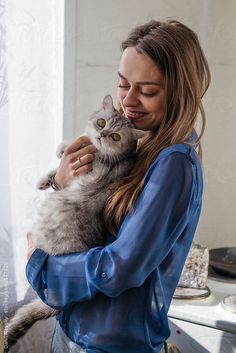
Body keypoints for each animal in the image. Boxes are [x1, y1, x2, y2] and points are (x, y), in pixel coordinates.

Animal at [4, 94, 145, 350]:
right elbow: (62, 160)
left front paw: (64, 147)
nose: (102, 134)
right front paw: (48, 174)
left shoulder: (93, 169)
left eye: (116, 136)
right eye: (101, 122)